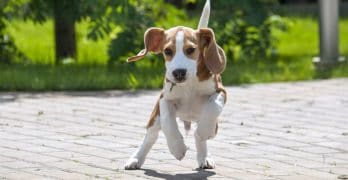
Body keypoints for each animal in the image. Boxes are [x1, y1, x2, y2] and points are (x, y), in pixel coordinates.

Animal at [124, 0, 226, 169]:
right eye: (167, 51)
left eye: (191, 50)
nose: (178, 72)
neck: (189, 85)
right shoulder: (164, 98)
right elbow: (167, 120)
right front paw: (177, 147)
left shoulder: (221, 91)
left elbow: (213, 106)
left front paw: (205, 131)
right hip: (154, 118)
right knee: (150, 136)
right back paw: (135, 159)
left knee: (199, 133)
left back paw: (204, 156)